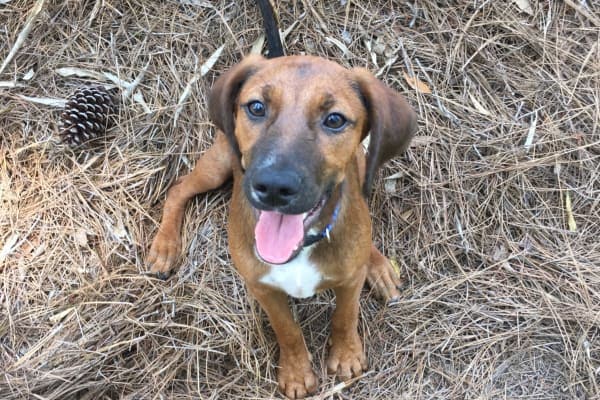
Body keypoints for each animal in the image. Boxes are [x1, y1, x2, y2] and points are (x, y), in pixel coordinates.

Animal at [148, 54, 414, 398]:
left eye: (335, 120)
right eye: (257, 107)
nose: (274, 187)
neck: (302, 247)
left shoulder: (348, 281)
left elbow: (345, 316)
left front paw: (346, 356)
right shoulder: (263, 288)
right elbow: (287, 330)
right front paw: (297, 373)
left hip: (359, 159)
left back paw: (379, 267)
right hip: (219, 162)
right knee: (178, 189)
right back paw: (165, 247)